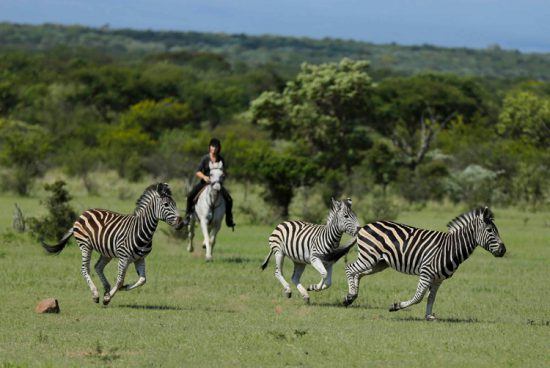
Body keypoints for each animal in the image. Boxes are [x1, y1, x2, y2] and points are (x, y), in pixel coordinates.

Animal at [41, 183, 183, 306]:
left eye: (175, 204)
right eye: (166, 204)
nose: (181, 223)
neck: (142, 231)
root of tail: (85, 213)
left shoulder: (140, 258)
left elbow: (142, 280)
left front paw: (120, 289)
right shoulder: (124, 258)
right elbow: (120, 280)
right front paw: (108, 298)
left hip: (106, 252)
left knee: (98, 267)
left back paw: (106, 288)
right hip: (85, 245)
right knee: (85, 268)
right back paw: (96, 294)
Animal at [344, 207, 508, 320]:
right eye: (490, 230)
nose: (503, 250)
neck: (451, 248)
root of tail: (364, 226)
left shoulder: (438, 279)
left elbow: (431, 298)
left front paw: (429, 316)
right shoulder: (426, 273)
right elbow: (419, 297)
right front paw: (396, 306)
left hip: (379, 263)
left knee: (358, 274)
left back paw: (351, 297)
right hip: (369, 257)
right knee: (350, 268)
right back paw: (350, 296)